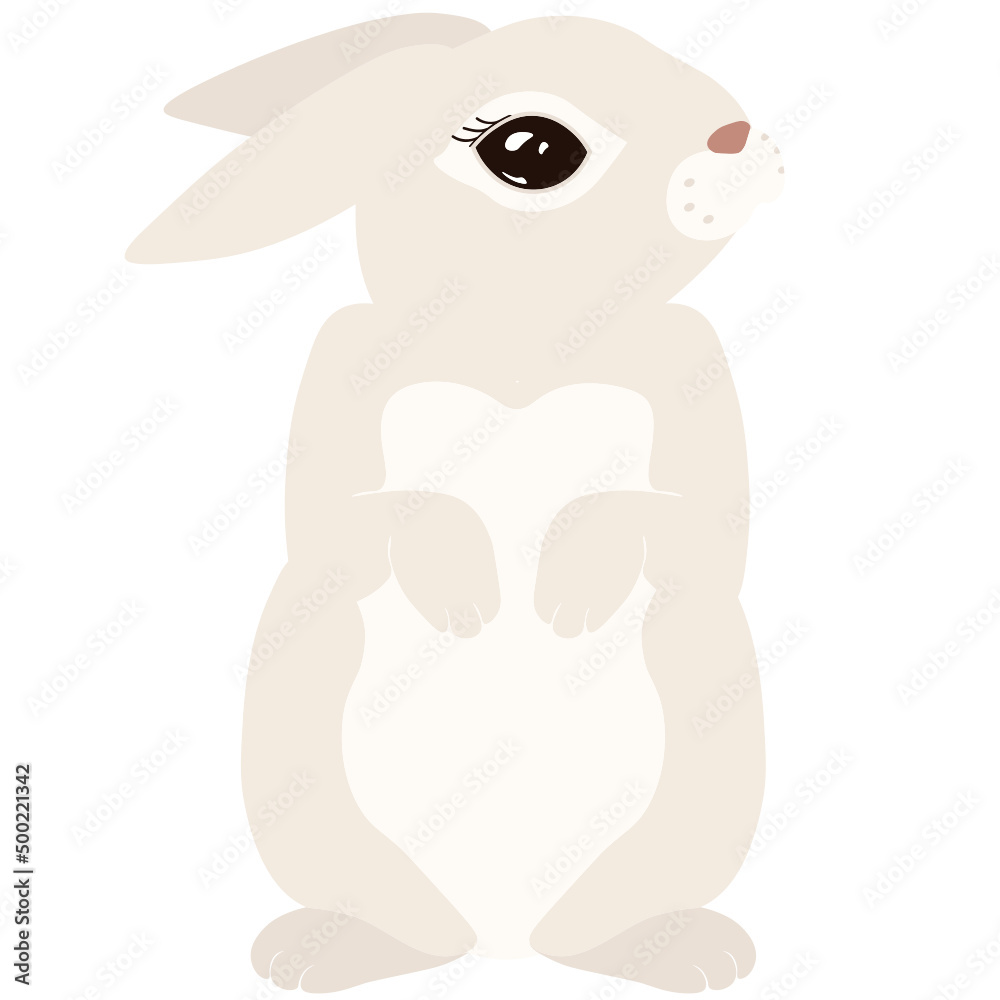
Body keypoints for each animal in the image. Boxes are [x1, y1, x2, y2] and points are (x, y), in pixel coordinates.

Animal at [128, 13, 783, 993]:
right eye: (531, 149)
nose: (738, 133)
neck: (523, 347)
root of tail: (504, 944)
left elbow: (686, 525)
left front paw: (565, 594)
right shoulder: (338, 406)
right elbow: (352, 524)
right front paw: (467, 595)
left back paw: (687, 953)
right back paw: (316, 954)